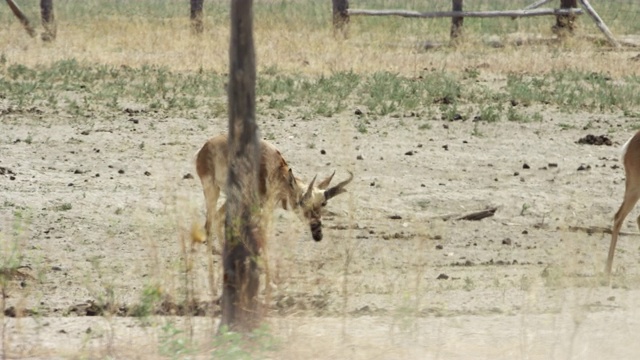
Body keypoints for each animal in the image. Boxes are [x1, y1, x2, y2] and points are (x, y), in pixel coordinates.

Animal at [196, 134, 356, 249]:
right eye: (301, 202)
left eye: (323, 204)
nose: (318, 234)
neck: (275, 170)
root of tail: (206, 145)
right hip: (213, 191)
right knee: (210, 221)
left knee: (216, 218)